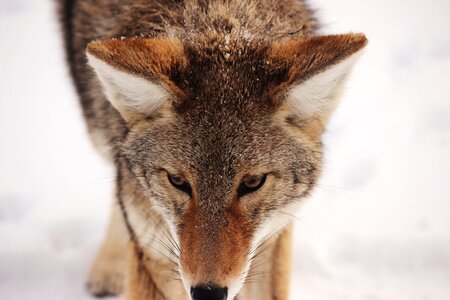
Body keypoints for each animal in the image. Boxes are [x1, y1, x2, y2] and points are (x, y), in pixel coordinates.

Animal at [57, 1, 366, 298]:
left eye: (253, 182)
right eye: (177, 181)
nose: (208, 293)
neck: (219, 19)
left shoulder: (272, 236)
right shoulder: (155, 253)